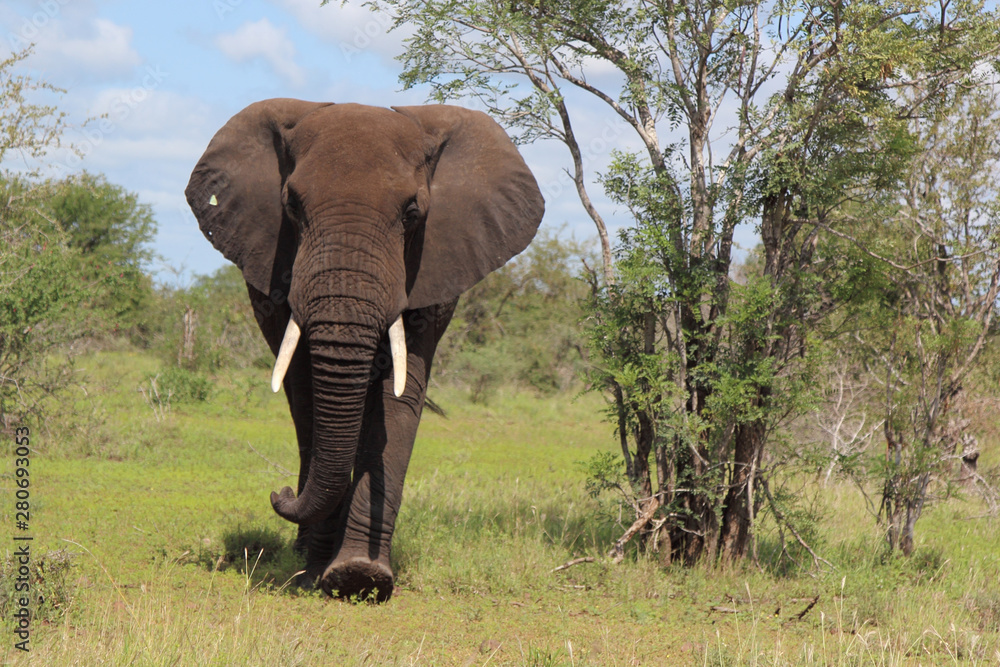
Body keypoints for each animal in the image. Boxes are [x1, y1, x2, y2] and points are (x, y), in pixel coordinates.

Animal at [185, 99, 544, 601]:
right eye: (291, 207)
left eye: (412, 212)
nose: (279, 494)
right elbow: (308, 391)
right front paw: (318, 572)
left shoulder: (429, 267)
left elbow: (401, 394)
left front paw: (359, 576)